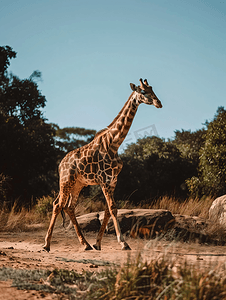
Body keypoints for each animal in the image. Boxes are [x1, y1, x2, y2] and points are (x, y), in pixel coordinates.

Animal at [42, 78, 162, 252]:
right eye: (143, 91)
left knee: (69, 207)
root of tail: (60, 165)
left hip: (78, 184)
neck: (114, 144)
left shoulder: (112, 181)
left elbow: (107, 210)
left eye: (152, 89)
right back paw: (46, 245)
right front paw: (123, 243)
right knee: (58, 204)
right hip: (66, 181)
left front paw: (97, 243)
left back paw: (85, 244)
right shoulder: (104, 181)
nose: (159, 103)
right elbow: (112, 208)